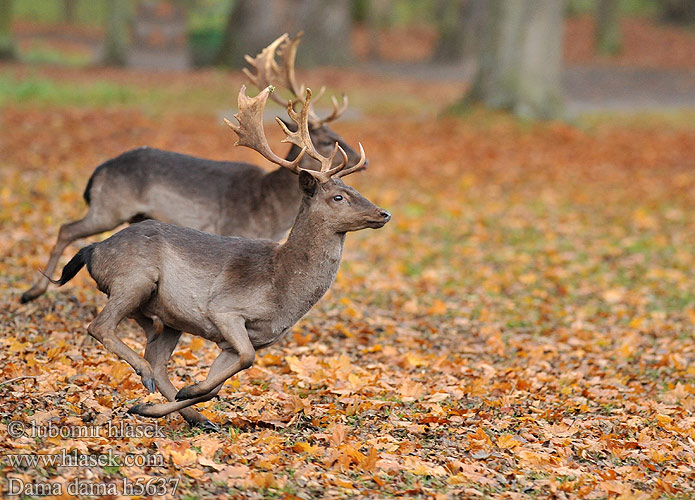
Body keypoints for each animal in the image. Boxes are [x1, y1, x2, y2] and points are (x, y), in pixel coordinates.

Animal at [21, 34, 358, 304]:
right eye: (326, 140)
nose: (361, 159)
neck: (269, 208)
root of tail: (100, 170)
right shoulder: (231, 228)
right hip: (108, 207)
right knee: (66, 228)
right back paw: (31, 293)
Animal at [49, 84, 392, 428]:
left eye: (355, 190)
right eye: (338, 197)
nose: (383, 213)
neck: (281, 287)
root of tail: (93, 251)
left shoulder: (242, 340)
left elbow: (219, 383)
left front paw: (174, 398)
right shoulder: (225, 309)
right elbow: (246, 359)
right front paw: (186, 391)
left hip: (167, 316)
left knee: (155, 353)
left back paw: (182, 411)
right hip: (133, 278)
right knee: (101, 326)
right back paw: (145, 376)